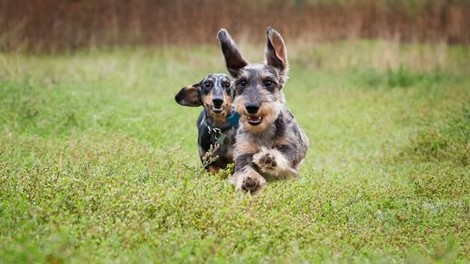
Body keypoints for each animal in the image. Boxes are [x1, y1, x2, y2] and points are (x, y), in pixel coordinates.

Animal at [219, 27, 310, 194]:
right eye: (242, 82)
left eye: (268, 82)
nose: (251, 107)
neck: (263, 130)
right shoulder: (243, 153)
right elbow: (244, 168)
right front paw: (250, 179)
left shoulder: (290, 147)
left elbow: (283, 155)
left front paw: (269, 158)